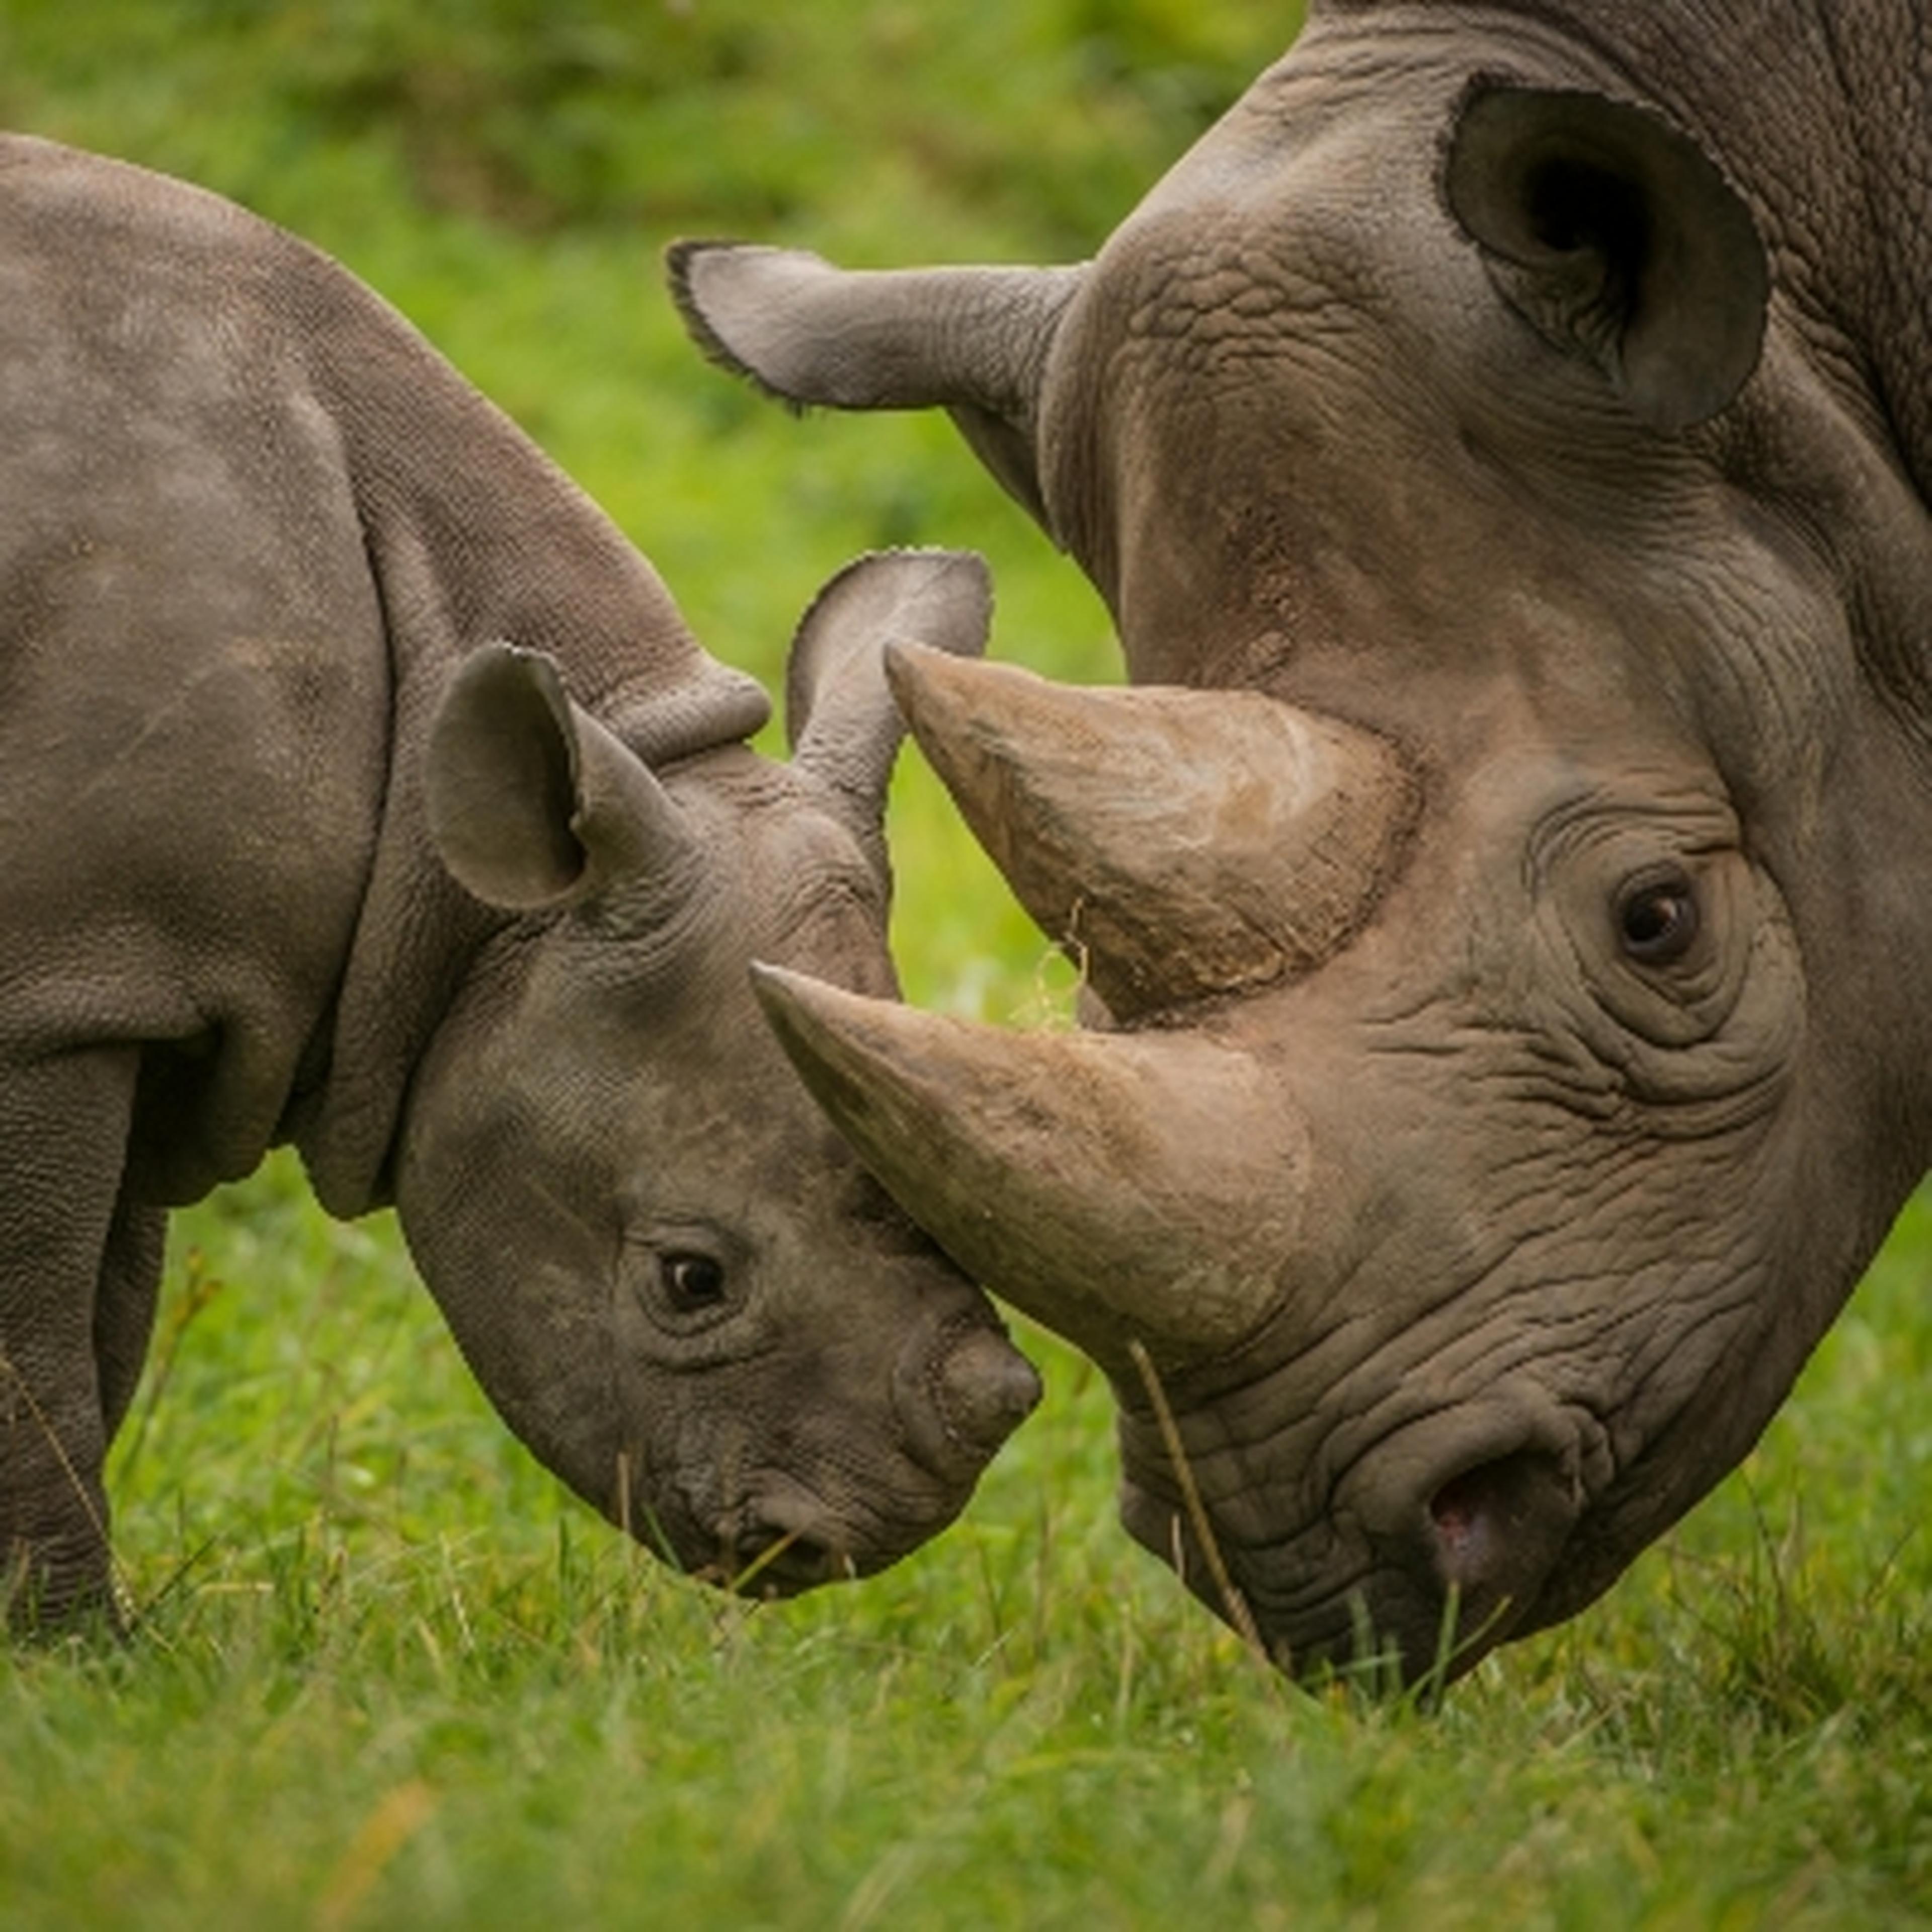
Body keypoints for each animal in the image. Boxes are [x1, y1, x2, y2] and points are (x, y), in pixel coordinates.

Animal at [0, 134, 1041, 1632]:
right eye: (689, 1279)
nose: (858, 1536)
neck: (462, 886)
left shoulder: (134, 963)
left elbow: (102, 1318)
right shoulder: (60, 983)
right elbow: (36, 1338)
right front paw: (78, 1646)